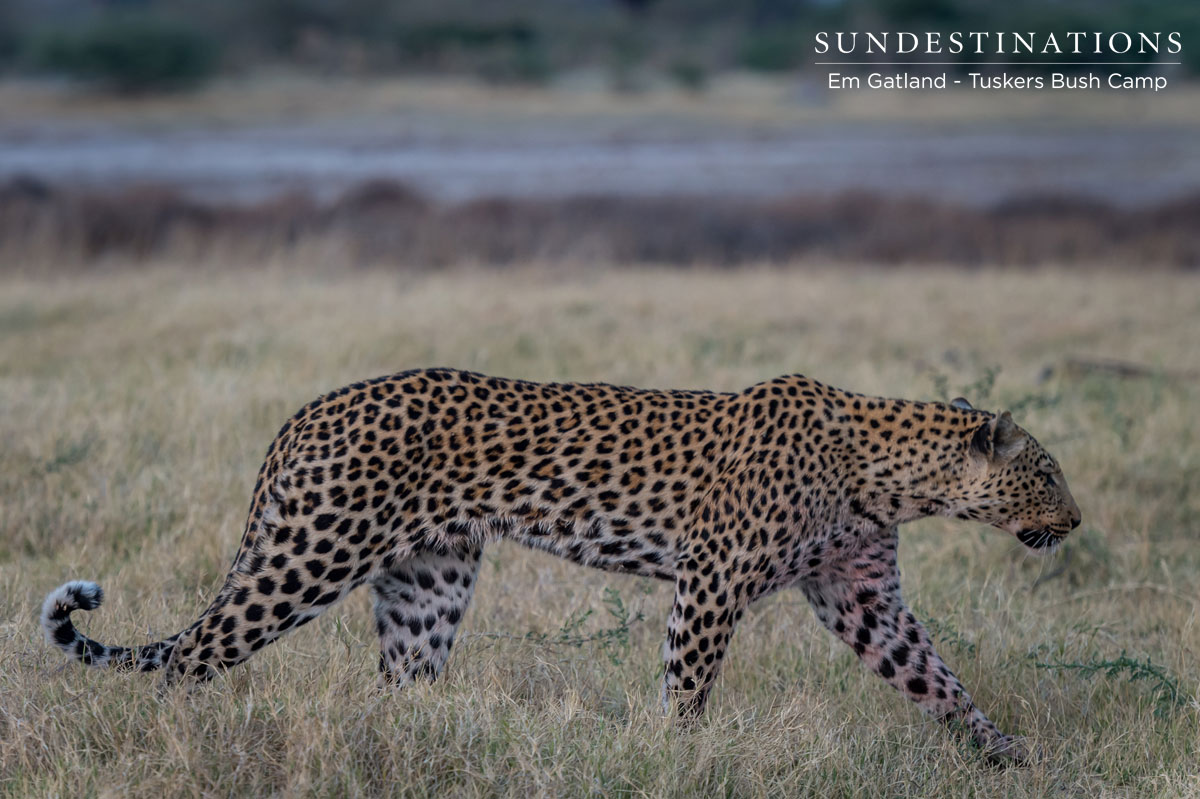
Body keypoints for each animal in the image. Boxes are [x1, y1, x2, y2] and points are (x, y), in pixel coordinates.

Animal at [42, 369, 1080, 764]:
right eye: (1045, 470)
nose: (1075, 519)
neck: (890, 475)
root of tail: (304, 412)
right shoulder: (711, 580)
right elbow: (687, 686)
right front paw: (677, 760)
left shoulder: (863, 597)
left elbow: (940, 680)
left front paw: (1011, 759)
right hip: (311, 550)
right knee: (192, 653)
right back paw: (176, 746)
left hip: (429, 579)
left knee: (399, 684)